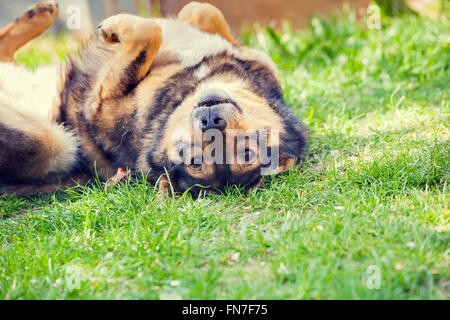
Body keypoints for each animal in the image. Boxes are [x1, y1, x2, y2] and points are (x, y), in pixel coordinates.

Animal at [0, 1, 308, 198]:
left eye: (246, 154)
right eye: (195, 161)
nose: (211, 121)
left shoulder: (100, 102)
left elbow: (150, 33)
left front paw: (114, 28)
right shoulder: (258, 60)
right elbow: (199, 12)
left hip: (56, 143)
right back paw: (38, 14)